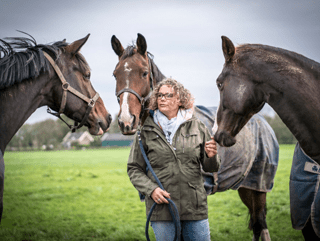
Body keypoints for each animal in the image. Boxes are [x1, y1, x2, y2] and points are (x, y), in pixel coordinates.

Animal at [110, 33, 278, 240]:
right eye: (115, 74)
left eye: (143, 73)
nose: (126, 120)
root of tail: (264, 123)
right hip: (245, 187)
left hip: (259, 187)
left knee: (261, 222)